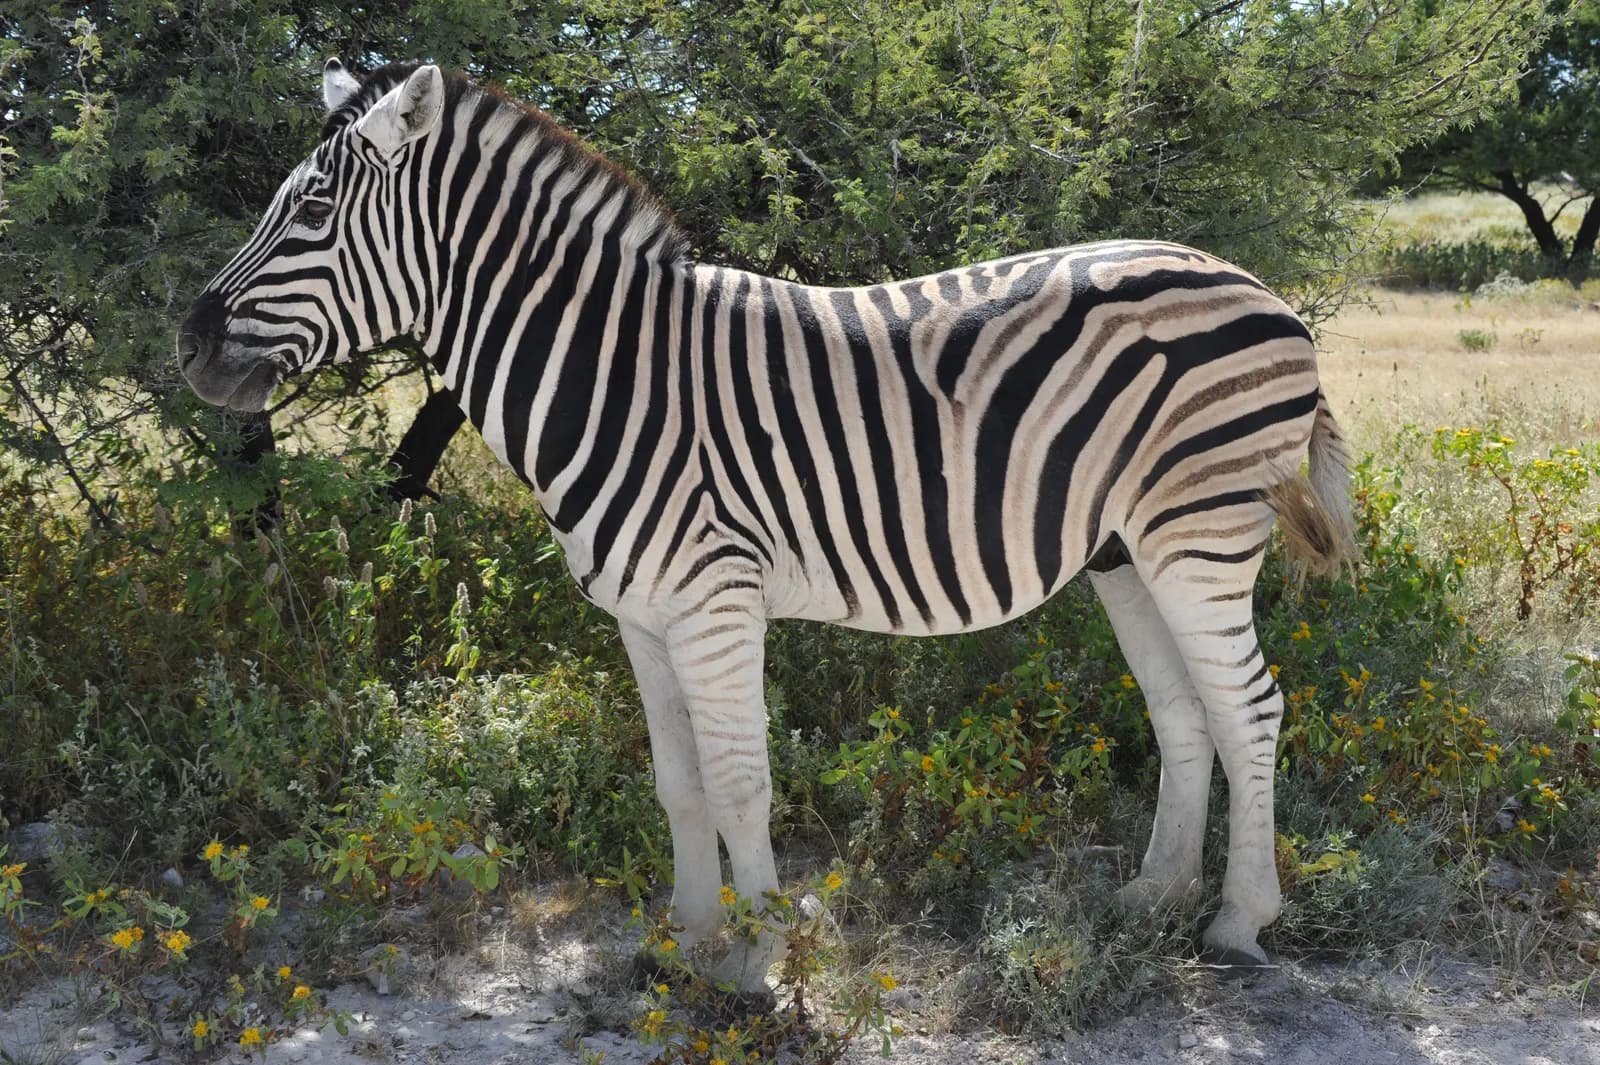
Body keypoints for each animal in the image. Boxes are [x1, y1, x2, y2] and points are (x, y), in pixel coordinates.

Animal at [178, 61, 1356, 992]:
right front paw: (686, 939)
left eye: (313, 213)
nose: (188, 347)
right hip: (1126, 552)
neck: (612, 374)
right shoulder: (641, 614)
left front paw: (756, 958)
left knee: (1250, 707)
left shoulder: (715, 597)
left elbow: (742, 779)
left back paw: (1238, 921)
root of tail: (1258, 289)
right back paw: (1154, 897)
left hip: (1199, 532)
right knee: (1186, 712)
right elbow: (679, 780)